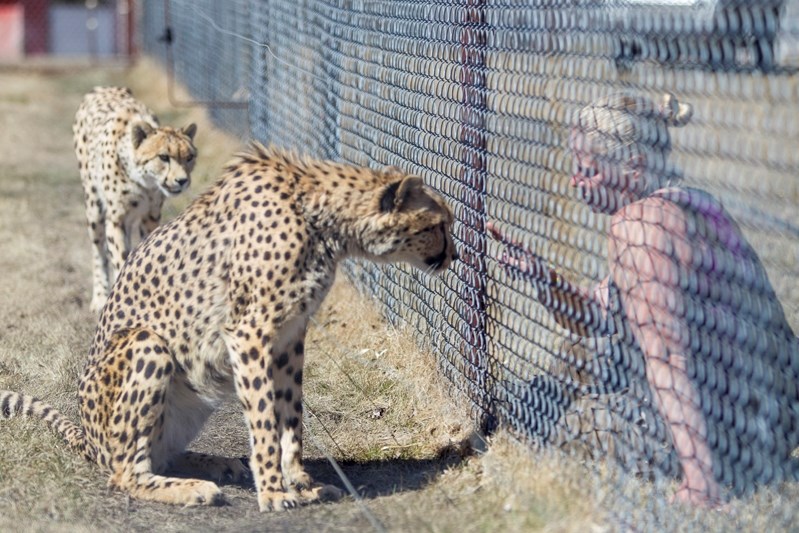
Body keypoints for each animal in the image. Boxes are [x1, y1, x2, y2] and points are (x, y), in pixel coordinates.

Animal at [0, 144, 456, 512]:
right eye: (437, 225)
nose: (453, 256)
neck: (321, 217)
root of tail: (88, 438)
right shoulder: (249, 332)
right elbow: (264, 417)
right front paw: (273, 492)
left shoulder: (291, 335)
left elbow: (291, 414)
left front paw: (300, 483)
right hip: (149, 345)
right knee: (124, 471)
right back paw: (191, 489)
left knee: (157, 452)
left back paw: (215, 463)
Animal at [74, 85, 198, 312]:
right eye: (164, 157)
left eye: (189, 157)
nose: (182, 181)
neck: (144, 183)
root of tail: (103, 88)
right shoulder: (116, 219)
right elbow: (119, 256)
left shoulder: (151, 217)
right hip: (94, 206)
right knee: (98, 250)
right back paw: (100, 297)